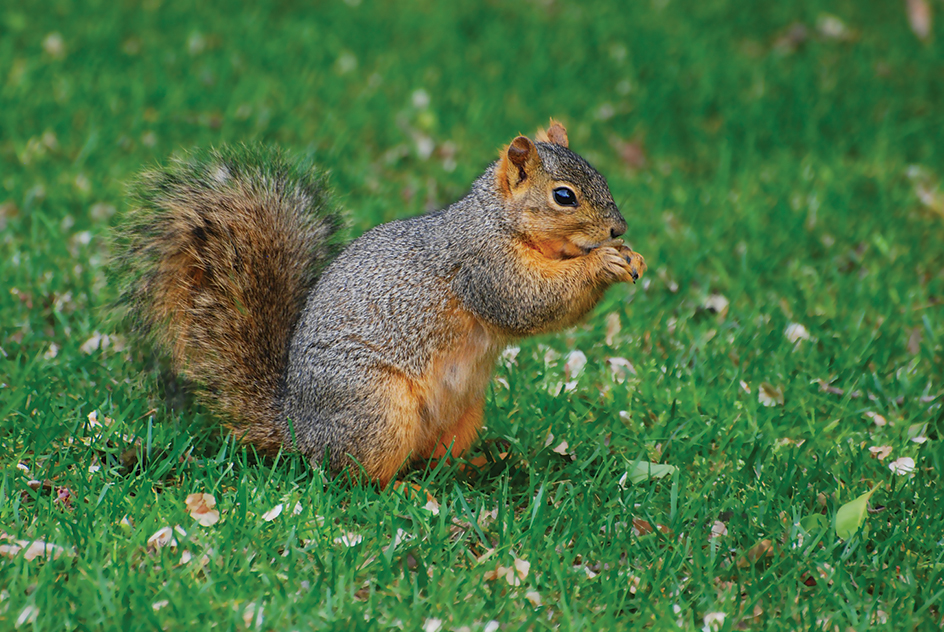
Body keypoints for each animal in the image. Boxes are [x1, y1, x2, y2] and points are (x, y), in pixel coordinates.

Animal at [109, 121, 640, 486]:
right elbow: (528, 301)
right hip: (376, 409)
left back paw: (475, 466)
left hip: (463, 414)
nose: (619, 229)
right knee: (357, 476)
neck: (499, 219)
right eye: (564, 196)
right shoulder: (482, 265)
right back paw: (403, 490)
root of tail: (298, 427)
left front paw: (629, 258)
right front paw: (604, 262)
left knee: (431, 459)